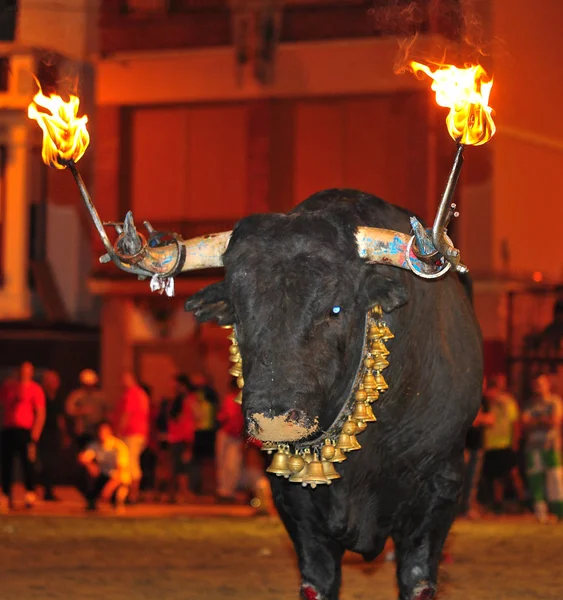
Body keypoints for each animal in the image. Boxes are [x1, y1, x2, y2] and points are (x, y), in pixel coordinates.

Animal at [186, 189, 484, 600]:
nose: (273, 420)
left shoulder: (440, 488)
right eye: (239, 314)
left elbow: (418, 580)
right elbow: (318, 580)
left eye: (336, 308)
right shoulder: (294, 503)